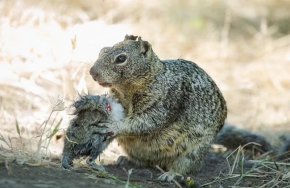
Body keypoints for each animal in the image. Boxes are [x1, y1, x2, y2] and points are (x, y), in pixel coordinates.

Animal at [89, 35, 228, 181]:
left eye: (121, 58)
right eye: (102, 50)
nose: (92, 72)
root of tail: (159, 162)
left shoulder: (165, 103)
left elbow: (146, 121)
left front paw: (114, 125)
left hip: (194, 151)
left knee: (186, 166)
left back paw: (170, 174)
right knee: (144, 162)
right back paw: (126, 160)